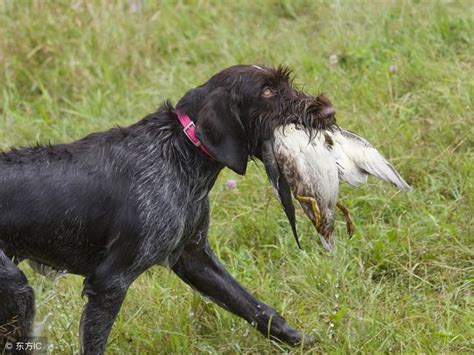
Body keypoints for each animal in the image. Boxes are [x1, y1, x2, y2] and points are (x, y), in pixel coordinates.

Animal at [0, 64, 336, 354]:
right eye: (267, 91)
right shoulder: (109, 282)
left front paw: (302, 342)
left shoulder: (194, 257)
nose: (328, 111)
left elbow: (255, 307)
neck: (181, 149)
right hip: (16, 292)